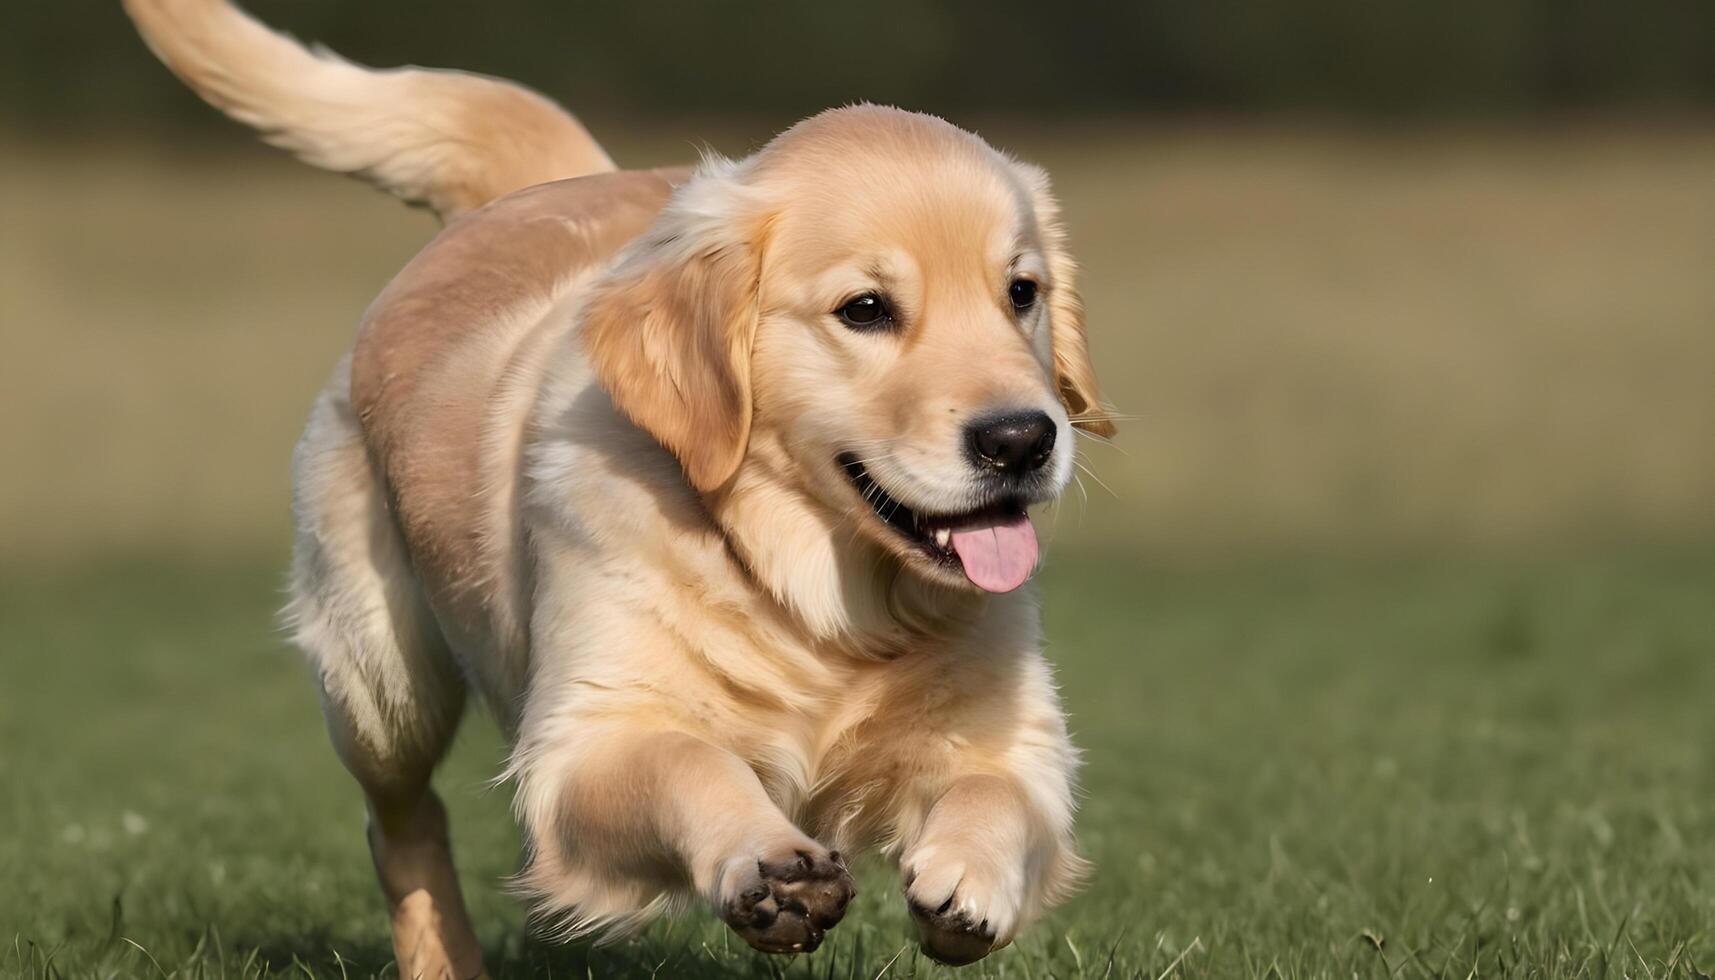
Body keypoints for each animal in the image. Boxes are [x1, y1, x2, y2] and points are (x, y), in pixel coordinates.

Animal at [120, 0, 1111, 974]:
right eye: (864, 310)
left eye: (1020, 292)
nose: (1022, 439)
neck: (815, 595)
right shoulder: (589, 736)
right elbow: (690, 764)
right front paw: (770, 864)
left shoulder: (1018, 732)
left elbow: (998, 792)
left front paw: (968, 882)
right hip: (379, 682)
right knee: (401, 824)